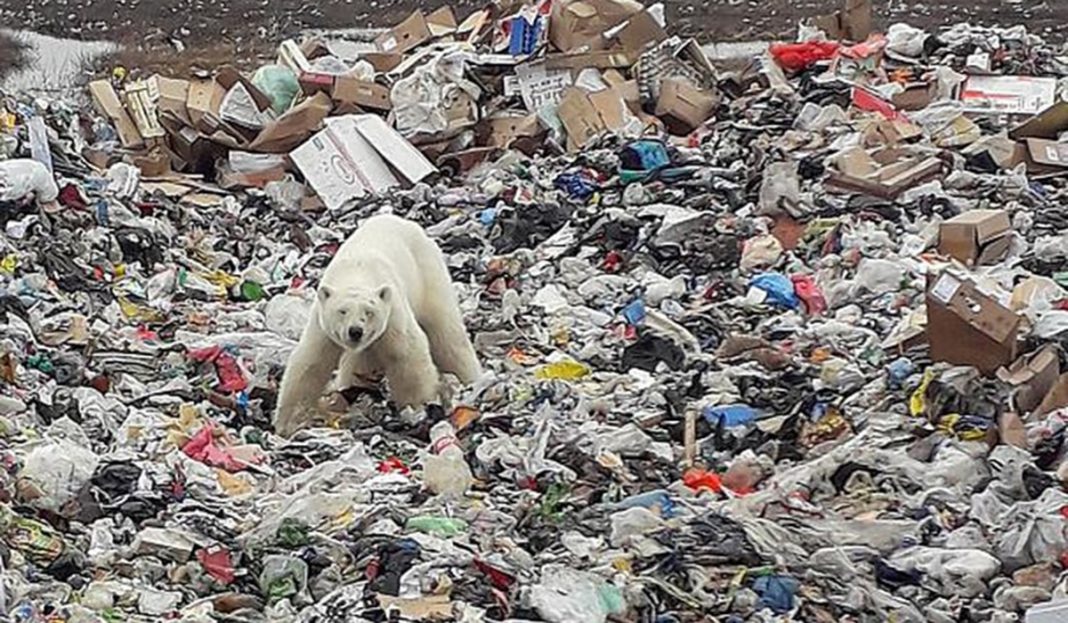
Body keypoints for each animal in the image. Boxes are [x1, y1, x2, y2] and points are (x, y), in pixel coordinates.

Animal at [273, 214, 481, 437]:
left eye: (369, 312)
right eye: (342, 311)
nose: (355, 331)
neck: (357, 271)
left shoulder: (392, 312)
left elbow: (407, 354)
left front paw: (417, 408)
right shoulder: (322, 324)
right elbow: (311, 363)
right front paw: (287, 423)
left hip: (427, 273)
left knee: (446, 334)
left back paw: (470, 380)